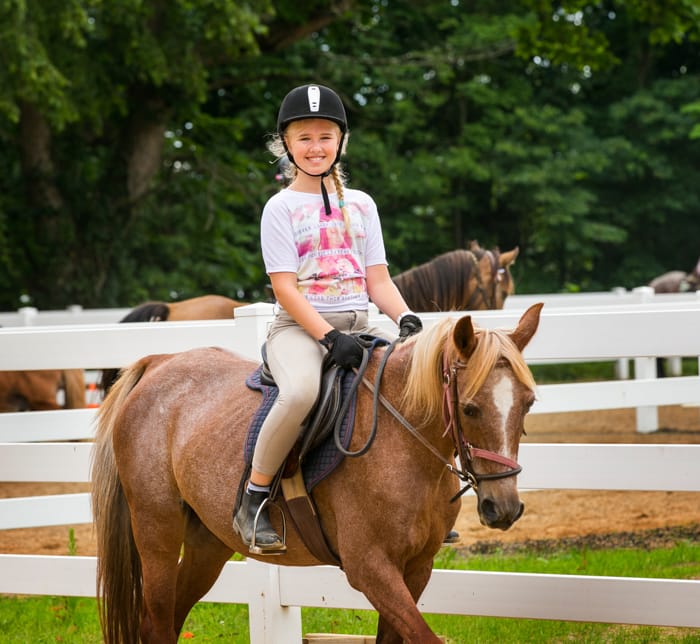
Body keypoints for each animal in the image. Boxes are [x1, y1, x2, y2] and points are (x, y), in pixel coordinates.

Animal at [91, 304, 540, 644]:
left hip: (208, 543)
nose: (503, 507)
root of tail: (160, 362)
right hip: (157, 531)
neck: (404, 440)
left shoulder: (416, 568)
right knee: (156, 623)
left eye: (529, 403)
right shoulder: (370, 568)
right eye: (470, 409)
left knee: (172, 618)